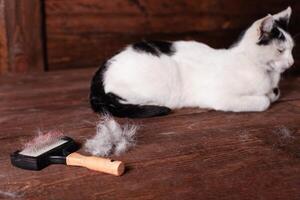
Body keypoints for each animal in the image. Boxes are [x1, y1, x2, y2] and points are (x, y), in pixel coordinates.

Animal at [89, 7, 296, 118]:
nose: (292, 62)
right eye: (280, 50)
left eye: (292, 48)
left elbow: (274, 93)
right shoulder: (219, 97)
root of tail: (102, 68)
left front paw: (272, 92)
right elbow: (264, 101)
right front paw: (266, 97)